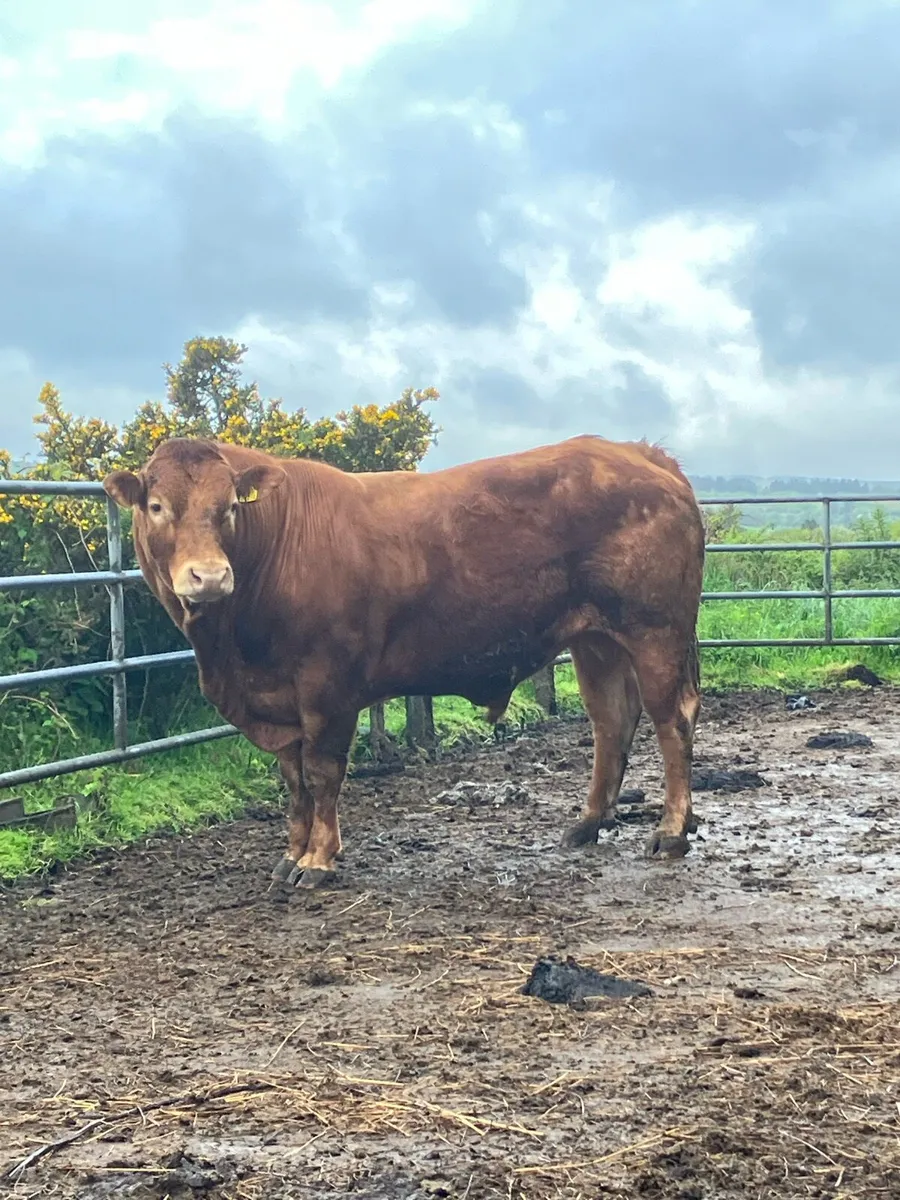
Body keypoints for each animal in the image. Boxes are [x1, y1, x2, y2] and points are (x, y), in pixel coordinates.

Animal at [103, 433, 705, 890]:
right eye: (156, 507)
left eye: (228, 508)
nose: (209, 577)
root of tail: (641, 454)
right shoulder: (278, 702)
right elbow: (293, 780)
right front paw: (292, 854)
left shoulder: (326, 687)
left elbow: (322, 773)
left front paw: (319, 860)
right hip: (596, 639)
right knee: (611, 722)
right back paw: (587, 824)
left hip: (655, 630)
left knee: (671, 720)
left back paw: (671, 831)